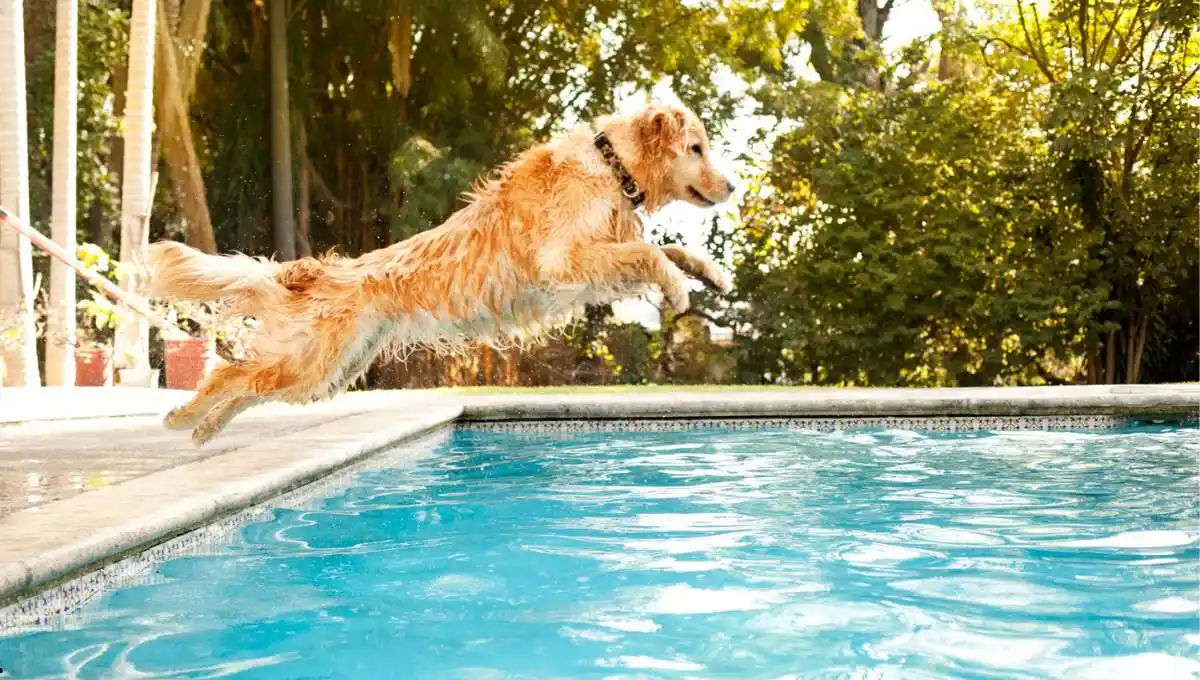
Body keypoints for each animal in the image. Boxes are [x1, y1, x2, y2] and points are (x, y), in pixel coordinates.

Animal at [146, 99, 734, 441]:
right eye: (697, 148)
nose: (731, 186)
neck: (612, 168)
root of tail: (317, 271)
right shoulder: (564, 262)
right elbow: (652, 253)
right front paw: (679, 289)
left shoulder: (599, 259)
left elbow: (665, 248)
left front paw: (711, 274)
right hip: (311, 362)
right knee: (227, 373)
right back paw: (183, 418)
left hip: (324, 373)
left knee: (248, 384)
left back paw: (205, 428)